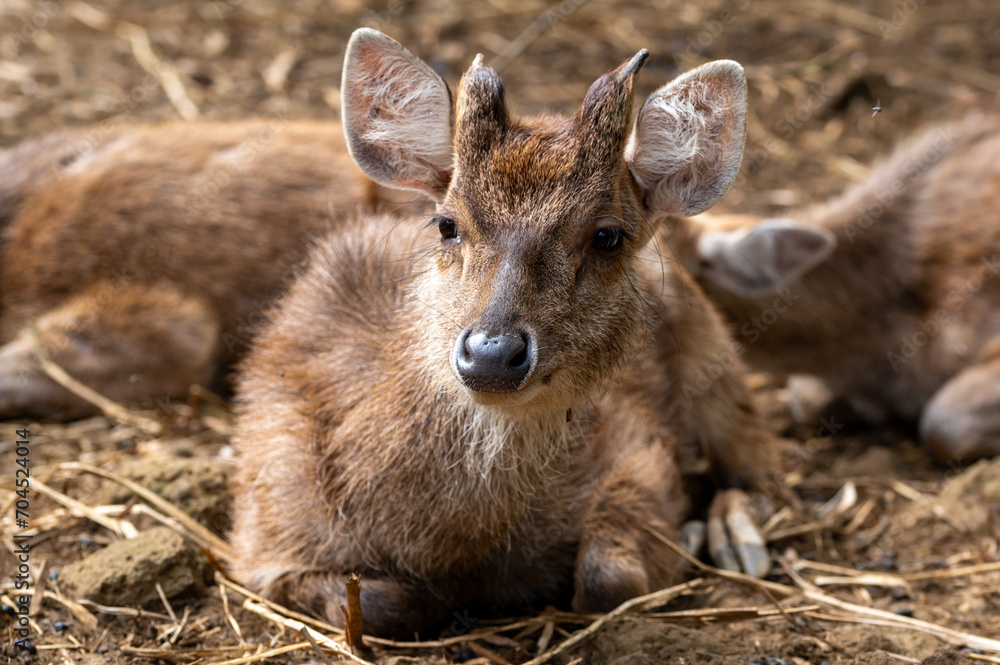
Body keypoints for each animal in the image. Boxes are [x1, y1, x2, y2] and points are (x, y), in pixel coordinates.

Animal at [230, 28, 778, 639]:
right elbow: (379, 605)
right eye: (447, 224)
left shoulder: (637, 446)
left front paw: (681, 532)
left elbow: (609, 577)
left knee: (763, 465)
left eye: (607, 236)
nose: (492, 353)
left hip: (716, 359)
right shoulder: (262, 527)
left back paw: (734, 536)